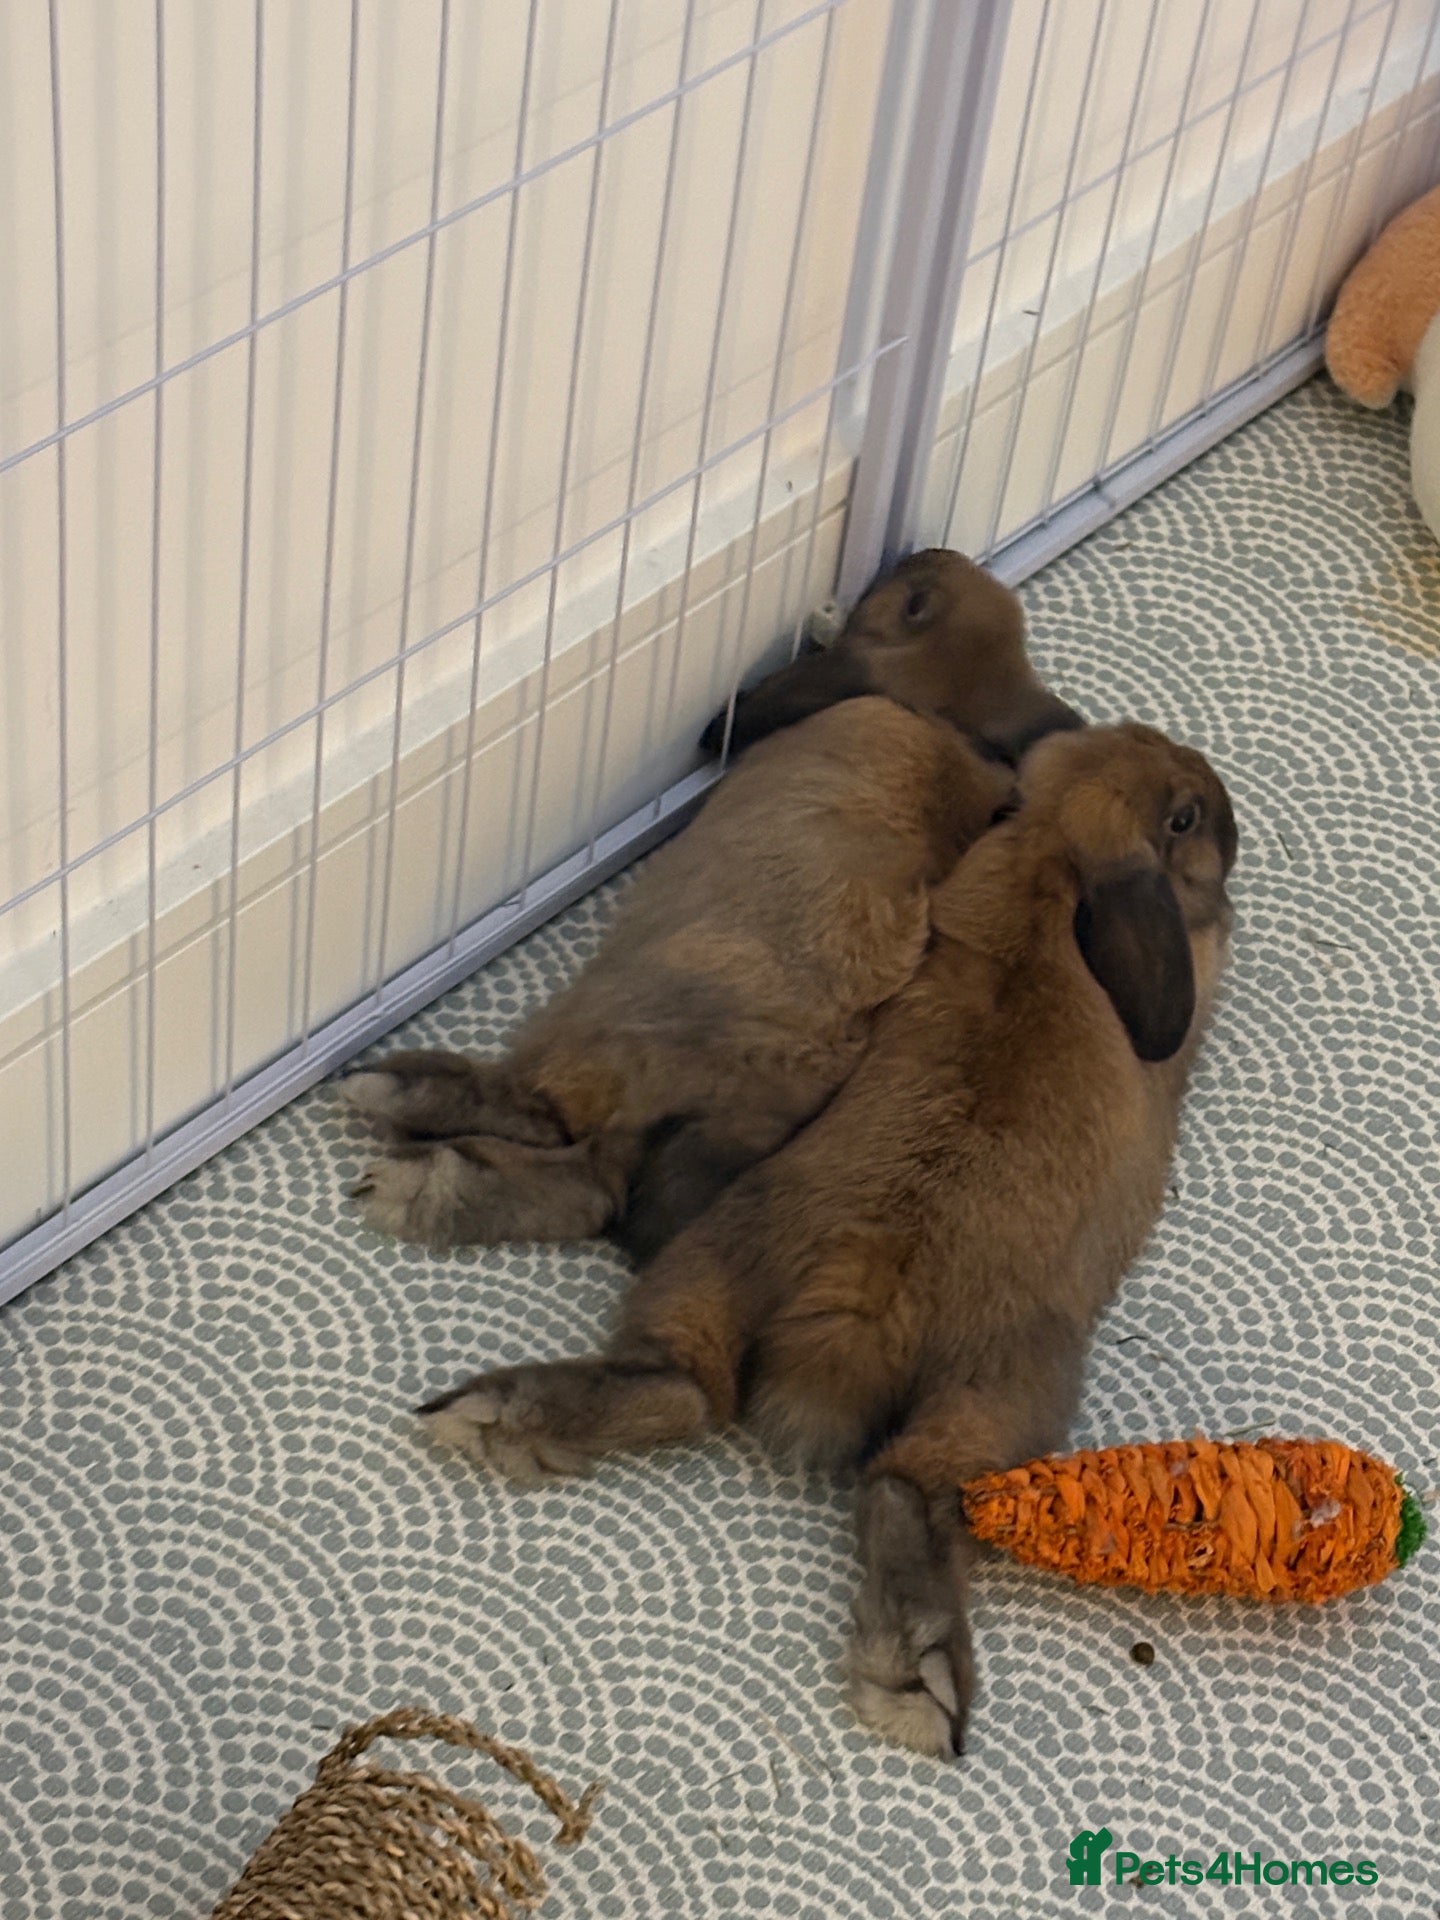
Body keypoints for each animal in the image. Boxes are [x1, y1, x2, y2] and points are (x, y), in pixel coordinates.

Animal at [341, 550, 1082, 1261]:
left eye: (914, 603)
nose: (927, 551)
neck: (947, 717)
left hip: (595, 1033)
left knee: (549, 1130)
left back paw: (401, 1130)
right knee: (582, 1186)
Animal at [416, 721, 1237, 1759]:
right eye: (1186, 815)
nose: (1230, 815)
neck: (1051, 865)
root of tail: (859, 1301)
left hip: (718, 1257)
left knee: (683, 1383)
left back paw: (496, 1411)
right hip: (1013, 1385)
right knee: (908, 1488)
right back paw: (920, 1683)